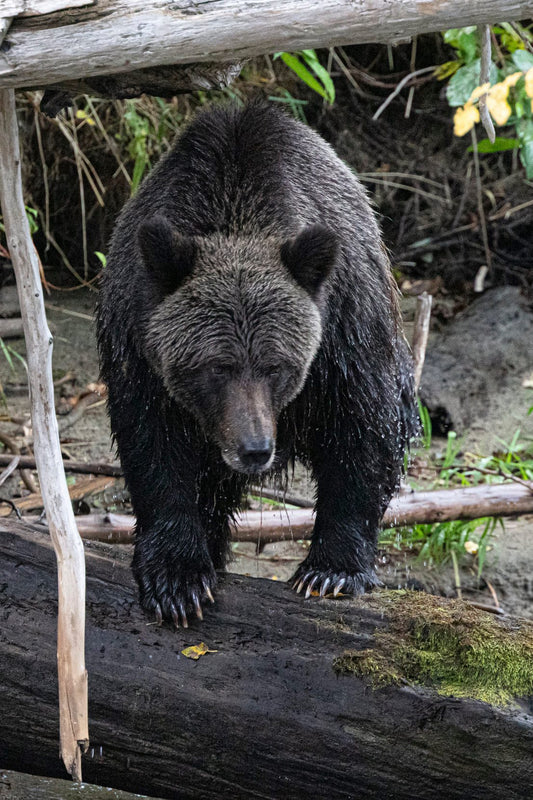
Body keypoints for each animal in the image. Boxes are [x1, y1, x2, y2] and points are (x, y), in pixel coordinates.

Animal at [96, 100, 418, 627]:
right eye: (215, 367)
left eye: (275, 366)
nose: (255, 448)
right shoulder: (137, 342)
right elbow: (155, 447)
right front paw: (177, 579)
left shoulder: (345, 331)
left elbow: (361, 432)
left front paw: (330, 571)